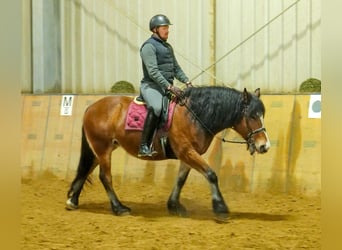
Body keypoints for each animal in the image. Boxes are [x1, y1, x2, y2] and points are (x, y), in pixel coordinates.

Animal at [66, 85, 270, 219]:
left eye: (262, 115)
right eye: (252, 116)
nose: (264, 146)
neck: (194, 115)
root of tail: (92, 107)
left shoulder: (188, 154)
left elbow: (180, 180)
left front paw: (174, 206)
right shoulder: (187, 151)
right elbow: (211, 175)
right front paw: (220, 208)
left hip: (99, 150)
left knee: (86, 170)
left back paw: (72, 201)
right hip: (103, 149)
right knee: (105, 177)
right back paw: (119, 208)